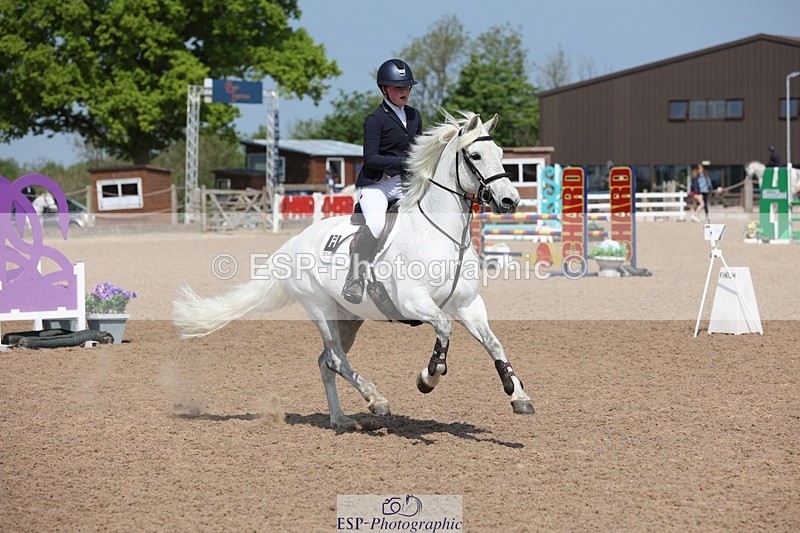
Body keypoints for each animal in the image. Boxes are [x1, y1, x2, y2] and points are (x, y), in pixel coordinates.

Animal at [173, 111, 535, 429]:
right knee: (335, 359)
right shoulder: (414, 302)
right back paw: (376, 400)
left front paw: (519, 396)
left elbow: (494, 345)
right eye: (475, 154)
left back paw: (340, 418)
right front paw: (428, 377)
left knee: (325, 362)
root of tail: (291, 244)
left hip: (349, 317)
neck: (440, 234)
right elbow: (444, 329)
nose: (510, 200)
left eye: (501, 154)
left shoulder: (468, 304)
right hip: (320, 309)